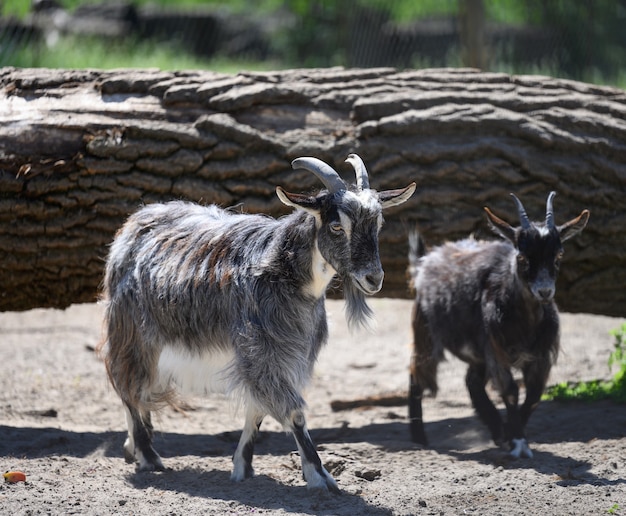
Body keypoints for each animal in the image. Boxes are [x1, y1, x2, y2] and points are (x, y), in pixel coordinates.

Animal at [98, 153, 414, 492]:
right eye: (336, 226)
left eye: (378, 224)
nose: (374, 278)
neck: (283, 269)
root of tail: (134, 223)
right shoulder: (261, 349)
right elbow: (293, 410)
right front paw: (320, 475)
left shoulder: (287, 353)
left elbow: (257, 411)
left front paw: (243, 467)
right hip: (132, 331)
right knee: (129, 385)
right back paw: (148, 457)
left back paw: (132, 447)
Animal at [408, 191, 588, 458]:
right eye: (522, 257)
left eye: (558, 255)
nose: (545, 292)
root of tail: (426, 260)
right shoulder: (497, 351)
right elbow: (511, 392)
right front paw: (518, 442)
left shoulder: (539, 355)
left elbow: (534, 395)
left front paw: (511, 434)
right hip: (426, 333)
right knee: (417, 375)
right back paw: (419, 438)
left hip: (478, 352)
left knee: (471, 382)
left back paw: (495, 428)